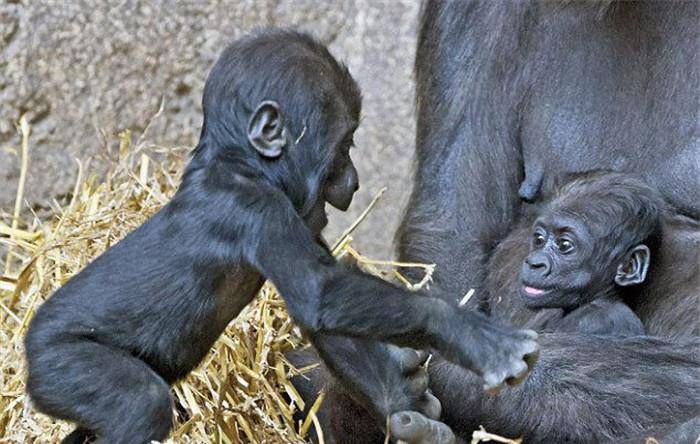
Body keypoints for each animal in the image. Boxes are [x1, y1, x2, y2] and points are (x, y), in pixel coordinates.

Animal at [21, 28, 536, 444]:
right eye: (345, 145)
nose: (353, 182)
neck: (240, 160)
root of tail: (26, 348)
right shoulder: (258, 207)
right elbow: (320, 292)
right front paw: (472, 334)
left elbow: (326, 309)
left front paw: (401, 410)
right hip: (60, 360)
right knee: (138, 404)